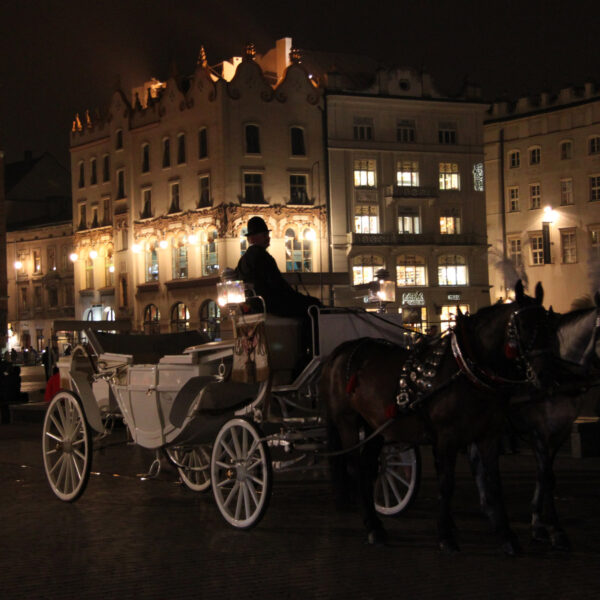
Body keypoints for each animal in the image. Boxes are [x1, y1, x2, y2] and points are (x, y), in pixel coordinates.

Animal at [318, 282, 552, 552]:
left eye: (549, 324)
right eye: (522, 325)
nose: (545, 375)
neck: (466, 368)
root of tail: (339, 352)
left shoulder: (489, 435)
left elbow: (494, 482)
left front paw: (506, 535)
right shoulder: (446, 438)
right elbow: (446, 483)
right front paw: (446, 535)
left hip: (374, 425)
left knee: (369, 468)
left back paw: (377, 525)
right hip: (347, 421)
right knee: (356, 467)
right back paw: (372, 527)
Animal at [472, 292, 596, 552]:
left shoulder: (560, 431)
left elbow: (545, 475)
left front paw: (539, 525)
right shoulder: (538, 431)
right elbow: (545, 475)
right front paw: (554, 530)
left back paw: (491, 512)